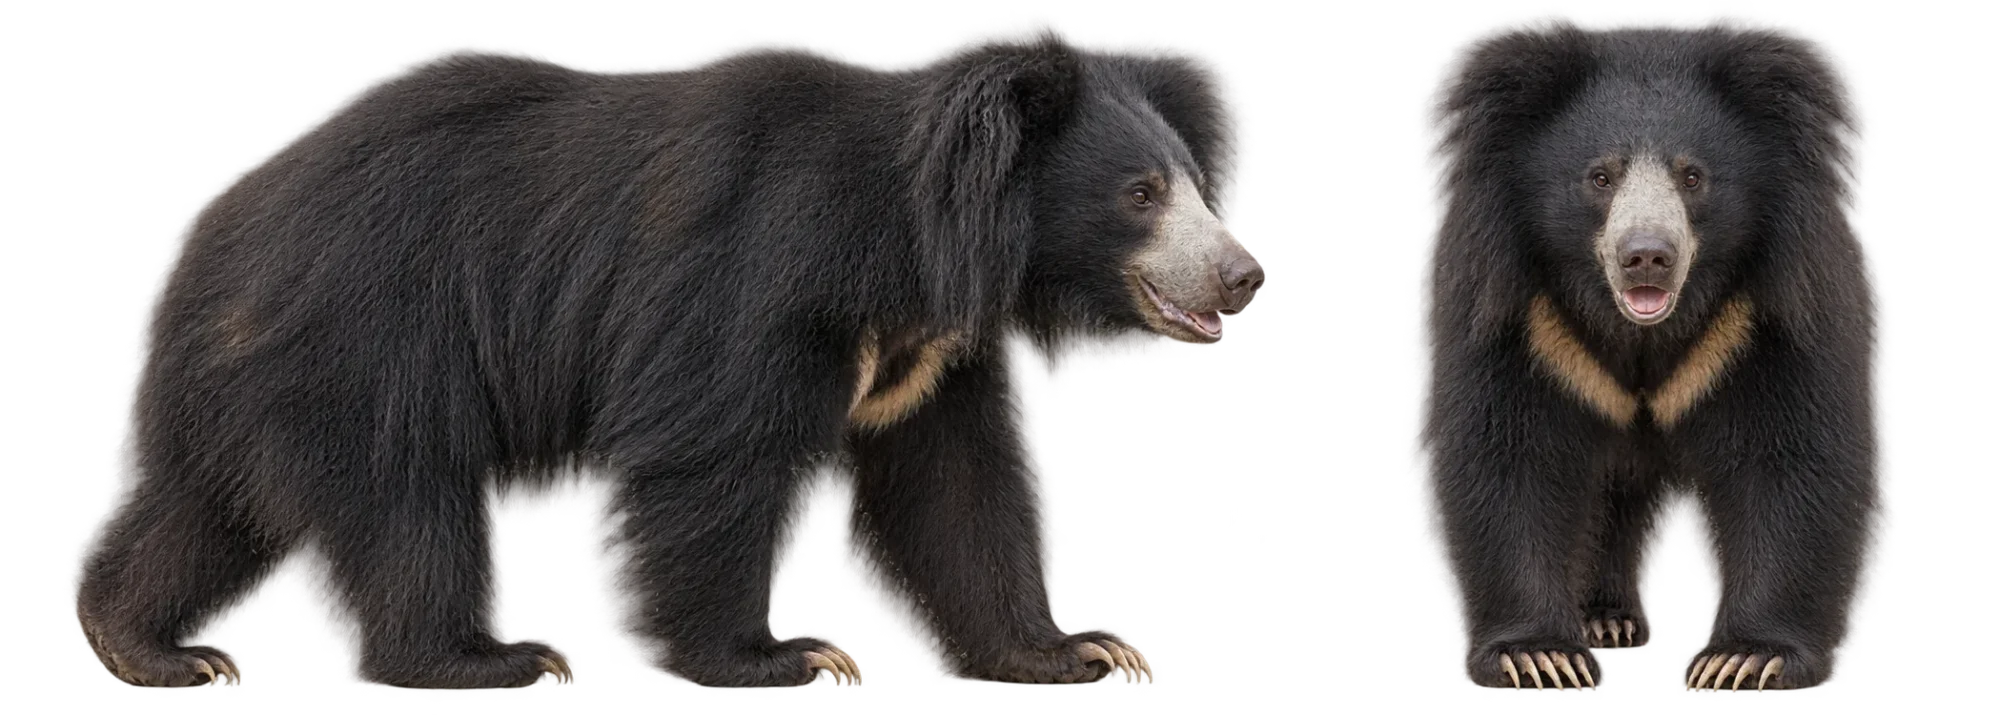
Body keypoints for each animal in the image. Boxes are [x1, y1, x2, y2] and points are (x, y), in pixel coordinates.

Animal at [68, 17, 1265, 692]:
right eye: (1139, 195)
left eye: (1194, 187)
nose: (1245, 275)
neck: (914, 244)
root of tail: (214, 228)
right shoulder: (755, 280)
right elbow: (708, 459)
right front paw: (786, 656)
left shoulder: (933, 353)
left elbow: (956, 488)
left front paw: (1081, 649)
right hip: (372, 336)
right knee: (403, 501)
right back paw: (492, 658)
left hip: (254, 374)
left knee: (203, 506)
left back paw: (153, 648)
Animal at [1407, 9, 1892, 696]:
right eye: (1599, 177)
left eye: (1693, 177)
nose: (1646, 256)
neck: (1640, 327)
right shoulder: (1523, 318)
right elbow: (1506, 456)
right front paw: (1538, 656)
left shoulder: (1761, 317)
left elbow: (1791, 459)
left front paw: (1744, 660)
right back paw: (1603, 621)